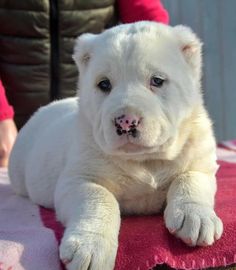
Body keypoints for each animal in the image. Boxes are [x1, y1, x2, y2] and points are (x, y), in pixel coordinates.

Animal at [8, 21, 223, 270]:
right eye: (104, 84)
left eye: (157, 80)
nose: (126, 121)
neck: (146, 160)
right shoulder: (79, 179)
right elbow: (99, 199)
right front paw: (89, 248)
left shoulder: (201, 163)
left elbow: (190, 179)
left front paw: (196, 218)